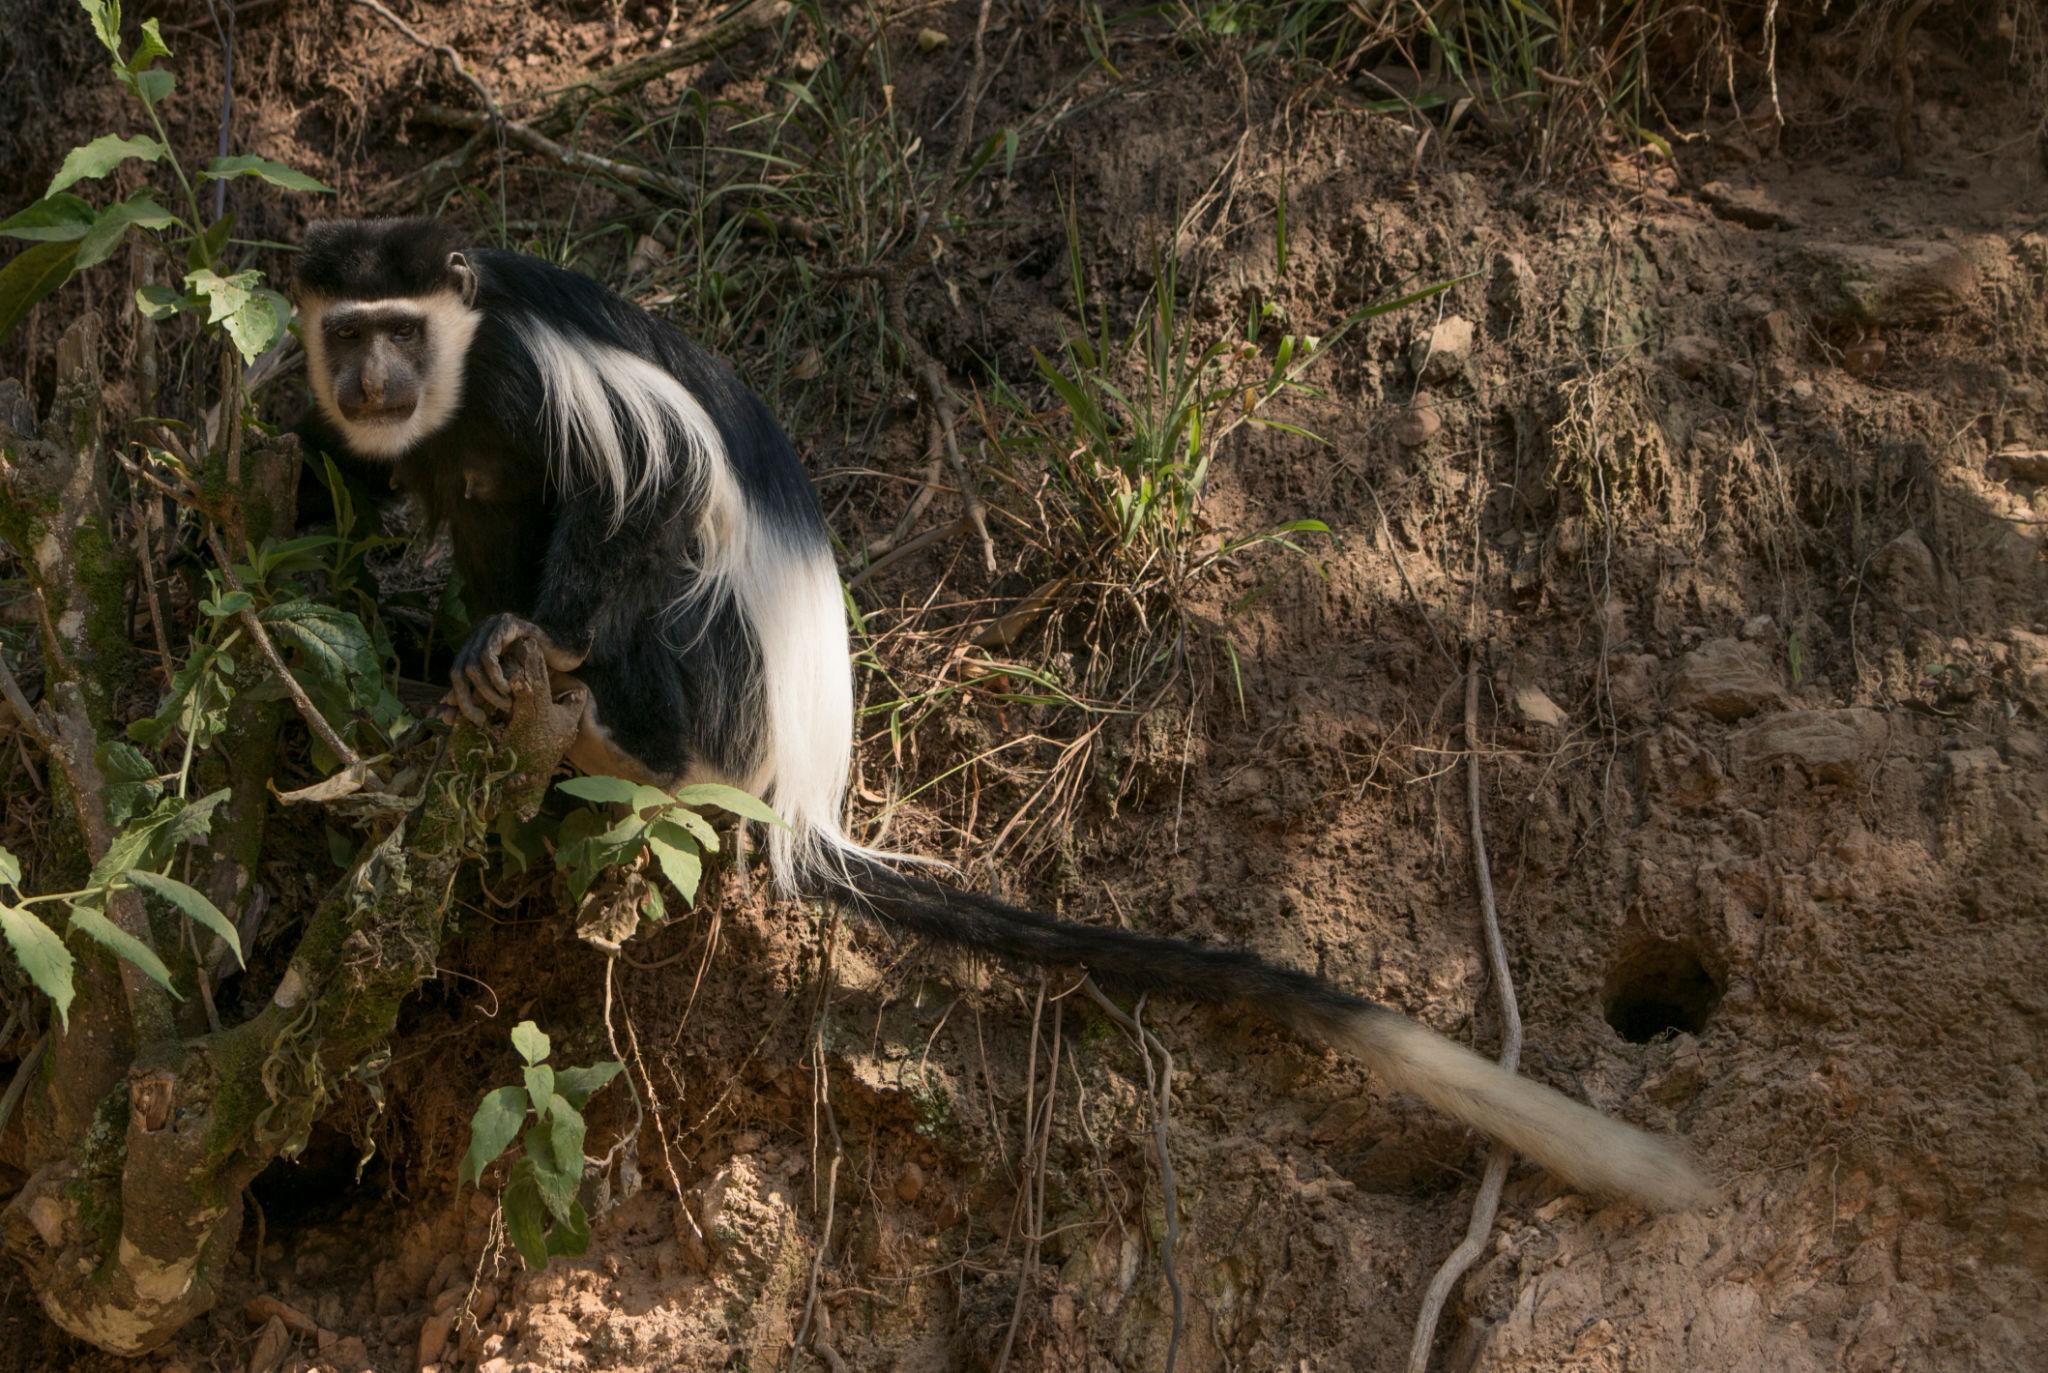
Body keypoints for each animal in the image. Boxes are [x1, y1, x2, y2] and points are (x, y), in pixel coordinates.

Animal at [292, 218, 1708, 1212]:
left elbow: (627, 505)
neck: (461, 368)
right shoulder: (415, 440)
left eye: (398, 327)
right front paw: (452, 652)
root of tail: (804, 797)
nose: (370, 375)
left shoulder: (538, 378)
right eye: (344, 332)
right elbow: (441, 510)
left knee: (679, 574)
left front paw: (529, 642)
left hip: (726, 682)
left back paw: (625, 739)